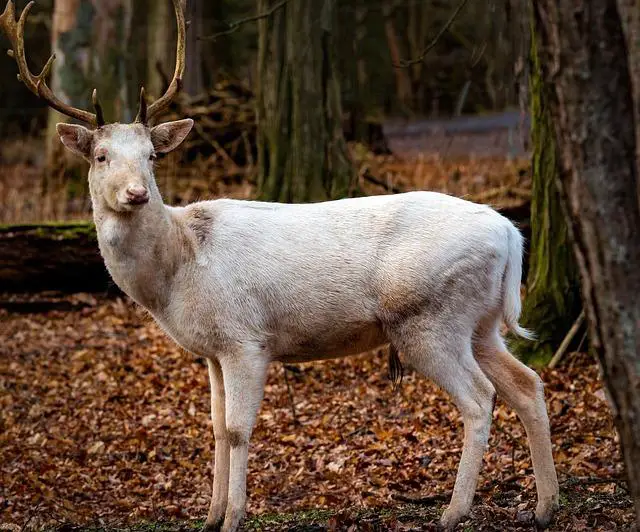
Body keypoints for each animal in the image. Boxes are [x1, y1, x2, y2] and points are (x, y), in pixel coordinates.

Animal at [2, 1, 556, 532]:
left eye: (151, 156)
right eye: (99, 155)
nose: (136, 193)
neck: (179, 270)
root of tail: (510, 233)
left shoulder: (246, 339)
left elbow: (236, 428)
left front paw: (233, 517)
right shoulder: (212, 351)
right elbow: (213, 427)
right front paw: (208, 517)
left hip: (429, 318)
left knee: (480, 398)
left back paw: (453, 513)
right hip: (481, 323)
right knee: (528, 384)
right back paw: (544, 507)